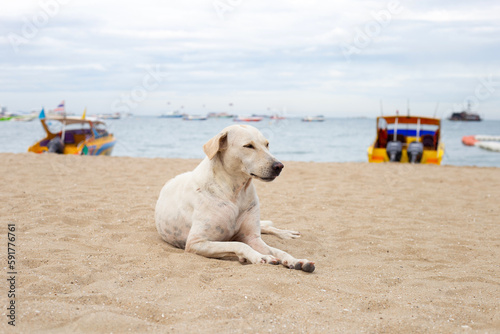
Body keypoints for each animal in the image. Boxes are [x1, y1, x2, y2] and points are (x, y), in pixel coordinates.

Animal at [154, 124, 314, 272]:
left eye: (267, 144)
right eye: (248, 146)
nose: (279, 166)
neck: (236, 192)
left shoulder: (252, 238)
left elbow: (279, 251)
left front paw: (295, 260)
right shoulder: (196, 242)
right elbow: (239, 244)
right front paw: (260, 257)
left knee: (265, 226)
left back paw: (286, 233)